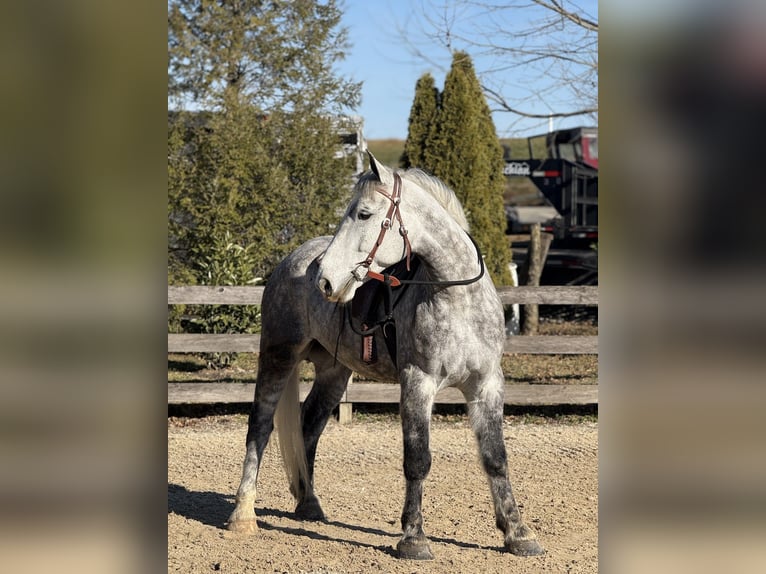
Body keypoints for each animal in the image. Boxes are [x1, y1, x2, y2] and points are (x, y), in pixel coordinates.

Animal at [226, 153, 544, 559]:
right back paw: (242, 515)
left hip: (334, 373)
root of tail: (292, 261)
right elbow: (418, 459)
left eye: (363, 214)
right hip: (278, 356)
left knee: (309, 425)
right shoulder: (418, 382)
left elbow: (496, 458)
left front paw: (517, 533)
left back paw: (309, 504)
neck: (455, 298)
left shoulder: (486, 385)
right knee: (260, 427)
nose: (324, 280)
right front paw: (413, 538)